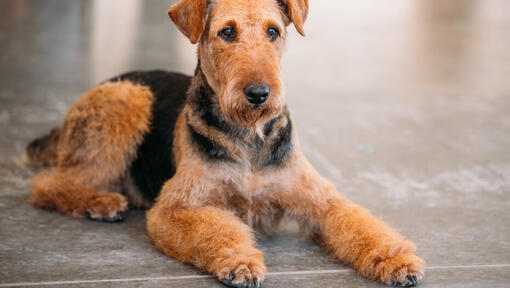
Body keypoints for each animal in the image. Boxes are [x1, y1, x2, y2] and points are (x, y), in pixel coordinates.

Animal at [26, 0, 426, 288]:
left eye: (273, 31)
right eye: (227, 32)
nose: (259, 94)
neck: (249, 138)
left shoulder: (322, 201)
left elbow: (361, 225)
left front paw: (397, 260)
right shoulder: (177, 208)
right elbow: (218, 230)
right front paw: (240, 261)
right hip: (127, 99)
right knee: (49, 184)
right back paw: (101, 202)